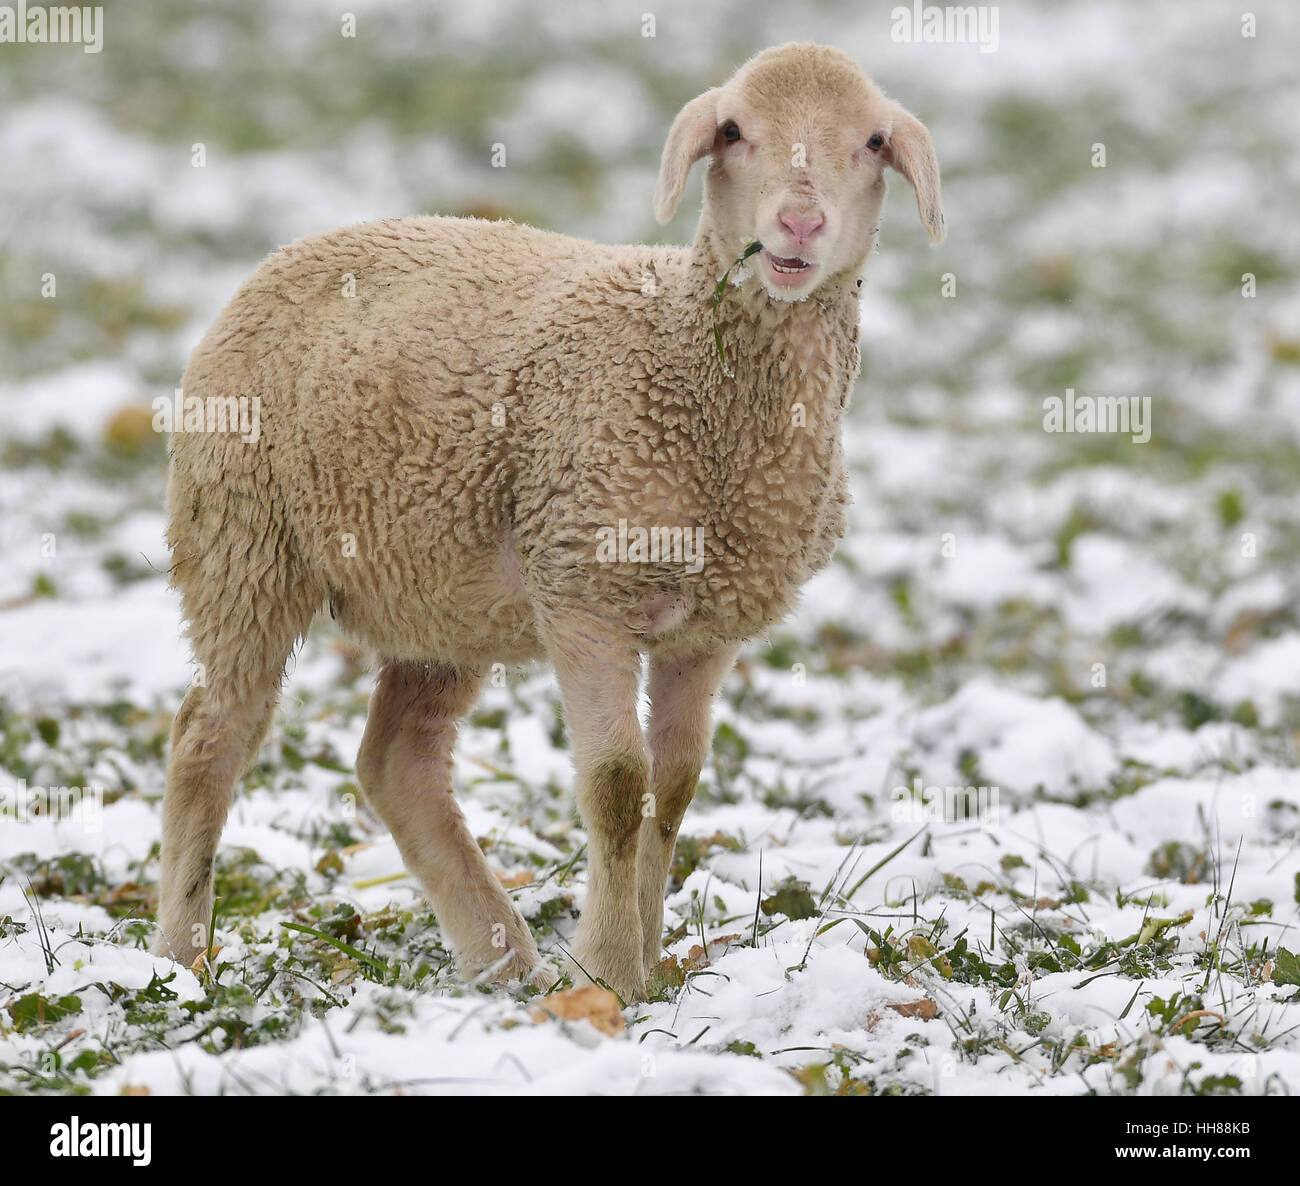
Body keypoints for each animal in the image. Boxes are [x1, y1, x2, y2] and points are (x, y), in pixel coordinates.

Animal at [154, 43, 946, 998]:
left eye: (871, 141)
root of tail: (283, 254)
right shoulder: (584, 595)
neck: (685, 361)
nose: (798, 225)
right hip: (244, 541)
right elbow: (616, 784)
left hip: (440, 594)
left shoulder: (706, 628)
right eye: (733, 131)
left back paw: (502, 959)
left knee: (398, 762)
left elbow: (676, 785)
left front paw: (646, 961)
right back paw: (180, 956)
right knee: (209, 737)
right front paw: (605, 971)